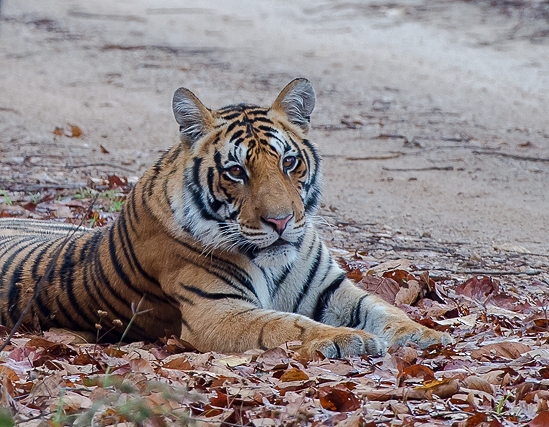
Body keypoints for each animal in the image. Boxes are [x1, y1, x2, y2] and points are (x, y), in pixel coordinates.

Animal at [0, 79, 450, 358]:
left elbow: (383, 308)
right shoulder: (218, 312)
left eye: (289, 162)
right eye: (236, 171)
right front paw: (348, 339)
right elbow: (290, 325)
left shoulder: (333, 289)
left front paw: (424, 334)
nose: (281, 222)